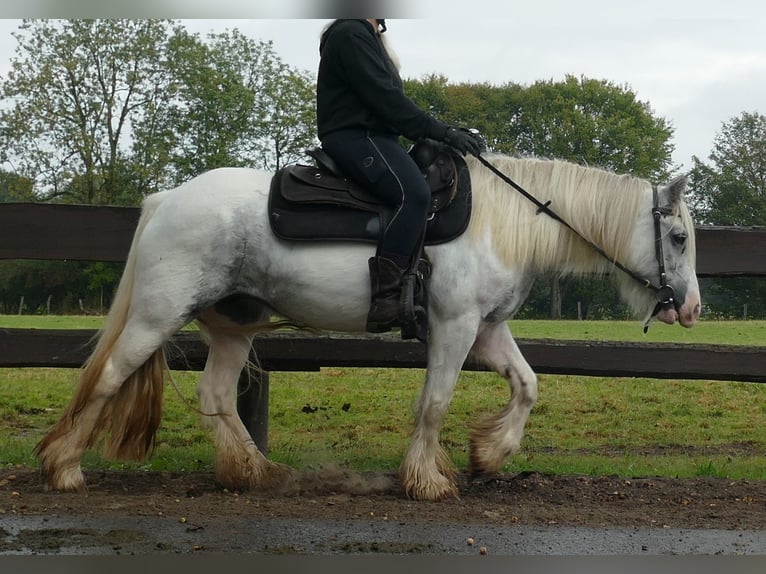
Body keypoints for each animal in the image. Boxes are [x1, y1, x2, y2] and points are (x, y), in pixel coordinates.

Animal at [36, 155, 704, 502]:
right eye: (677, 236)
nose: (691, 308)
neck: (499, 221)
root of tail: (167, 199)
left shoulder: (488, 329)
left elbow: (528, 385)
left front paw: (489, 455)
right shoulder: (455, 327)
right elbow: (435, 402)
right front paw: (427, 480)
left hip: (233, 326)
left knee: (216, 393)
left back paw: (254, 471)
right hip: (158, 315)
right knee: (108, 377)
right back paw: (64, 468)